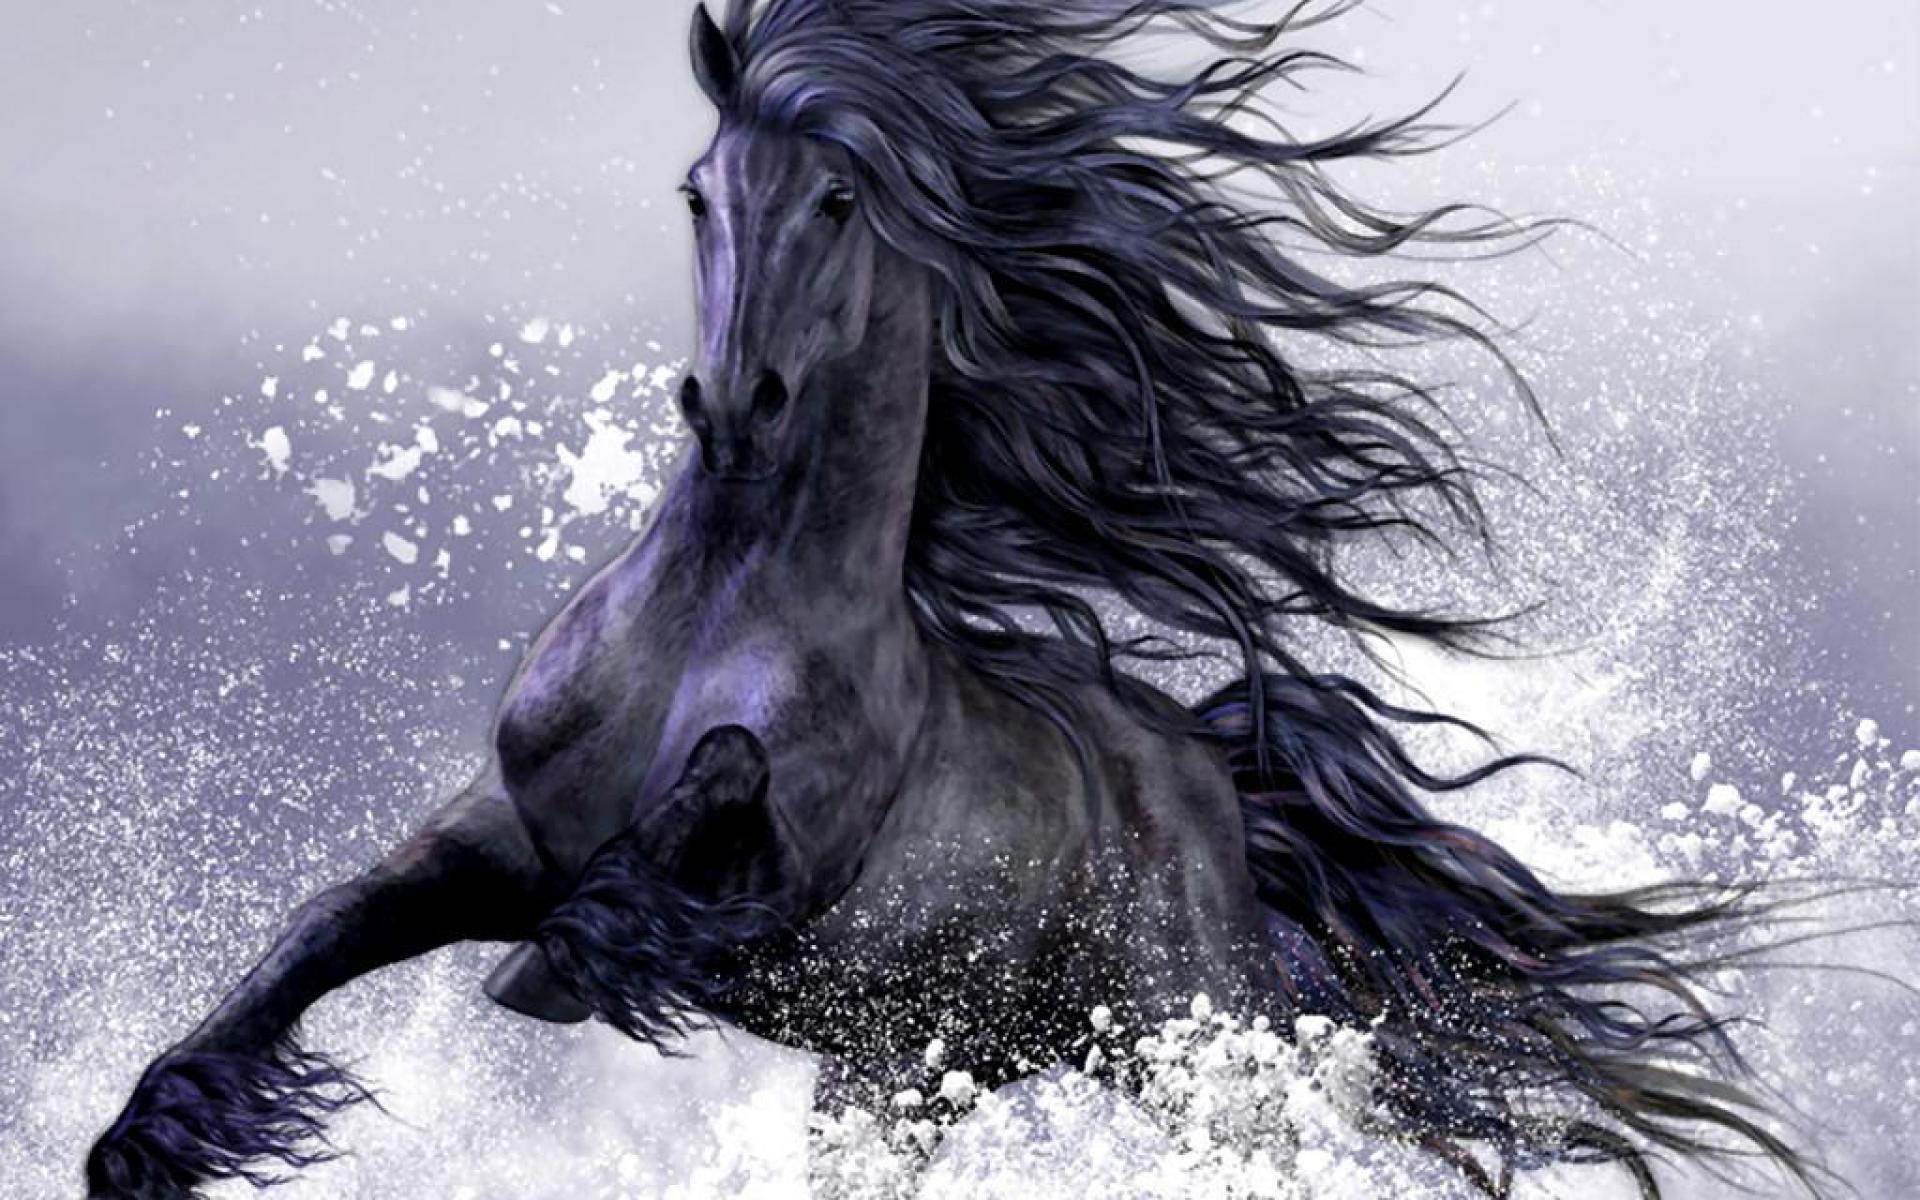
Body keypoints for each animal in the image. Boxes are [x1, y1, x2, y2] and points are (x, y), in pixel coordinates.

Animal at [86, 2, 1821, 1197]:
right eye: (698, 192)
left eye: (839, 202)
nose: (735, 404)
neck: (712, 614)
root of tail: (1209, 774)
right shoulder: (497, 833)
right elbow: (314, 936)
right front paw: (149, 1134)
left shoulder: (775, 877)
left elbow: (700, 818)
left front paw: (563, 963)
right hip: (917, 1073)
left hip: (1186, 1034)